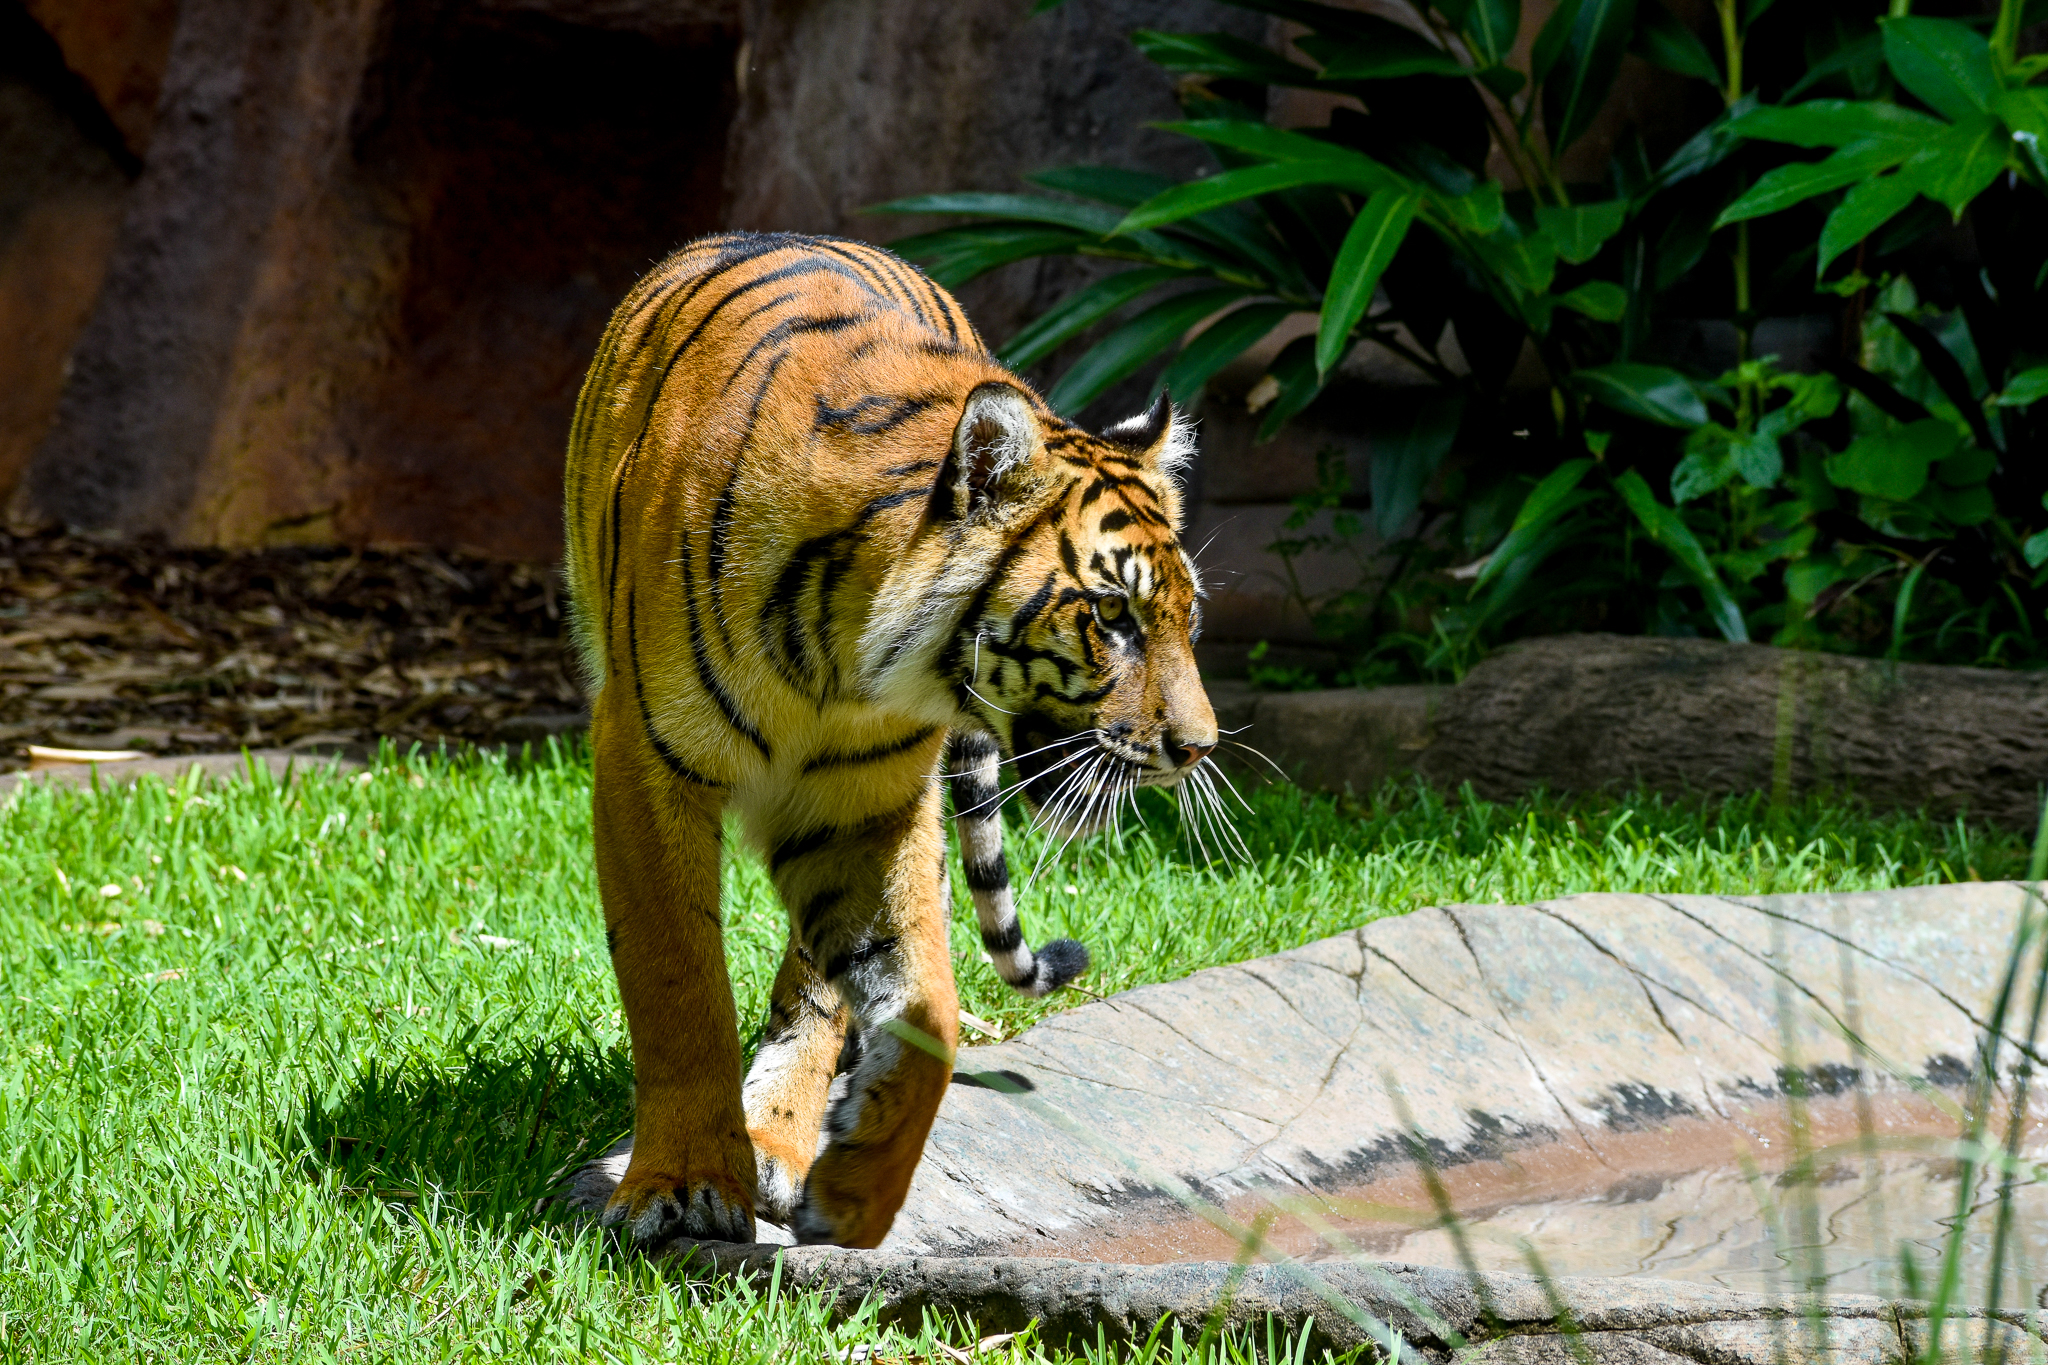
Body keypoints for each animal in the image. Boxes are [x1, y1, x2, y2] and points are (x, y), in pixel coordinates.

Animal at [562, 230, 1218, 1250]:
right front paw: (682, 1184)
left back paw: (780, 1142)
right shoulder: (647, 763)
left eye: (1188, 617)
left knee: (818, 986)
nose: (1201, 746)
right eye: (1112, 615)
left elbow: (927, 1009)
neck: (844, 651)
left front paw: (858, 1185)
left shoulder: (862, 806)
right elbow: (679, 984)